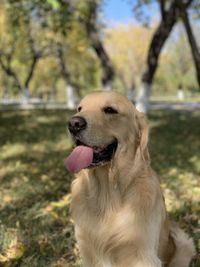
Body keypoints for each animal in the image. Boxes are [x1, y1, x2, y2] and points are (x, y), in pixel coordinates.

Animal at [64, 91, 195, 266]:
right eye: (79, 108)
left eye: (110, 110)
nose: (74, 123)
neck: (107, 196)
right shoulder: (88, 251)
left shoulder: (142, 255)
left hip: (183, 243)